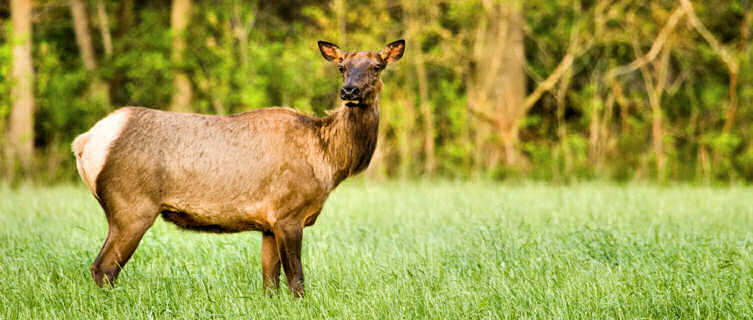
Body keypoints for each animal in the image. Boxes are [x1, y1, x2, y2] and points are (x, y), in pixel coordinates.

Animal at [70, 40, 406, 298]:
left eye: (377, 66)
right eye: (342, 67)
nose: (349, 91)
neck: (328, 160)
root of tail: (84, 142)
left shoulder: (269, 222)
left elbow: (270, 283)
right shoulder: (289, 213)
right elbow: (297, 281)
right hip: (131, 206)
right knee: (103, 268)